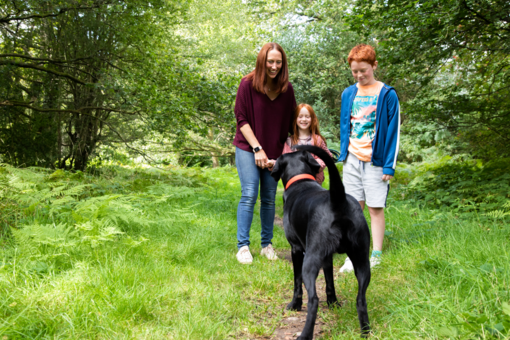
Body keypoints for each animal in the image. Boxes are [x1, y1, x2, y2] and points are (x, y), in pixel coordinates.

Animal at [270, 145, 370, 338]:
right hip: (362, 259)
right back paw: (365, 332)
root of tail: (338, 200)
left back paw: (305, 335)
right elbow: (330, 281)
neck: (301, 180)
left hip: (310, 260)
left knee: (313, 300)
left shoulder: (296, 249)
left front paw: (294, 305)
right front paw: (333, 303)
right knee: (361, 299)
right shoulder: (327, 256)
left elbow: (297, 282)